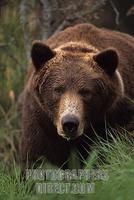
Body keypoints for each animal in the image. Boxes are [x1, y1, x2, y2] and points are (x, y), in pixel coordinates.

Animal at [19, 22, 134, 168]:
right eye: (58, 90)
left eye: (86, 92)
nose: (69, 123)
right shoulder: (40, 121)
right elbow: (37, 157)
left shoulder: (115, 117)